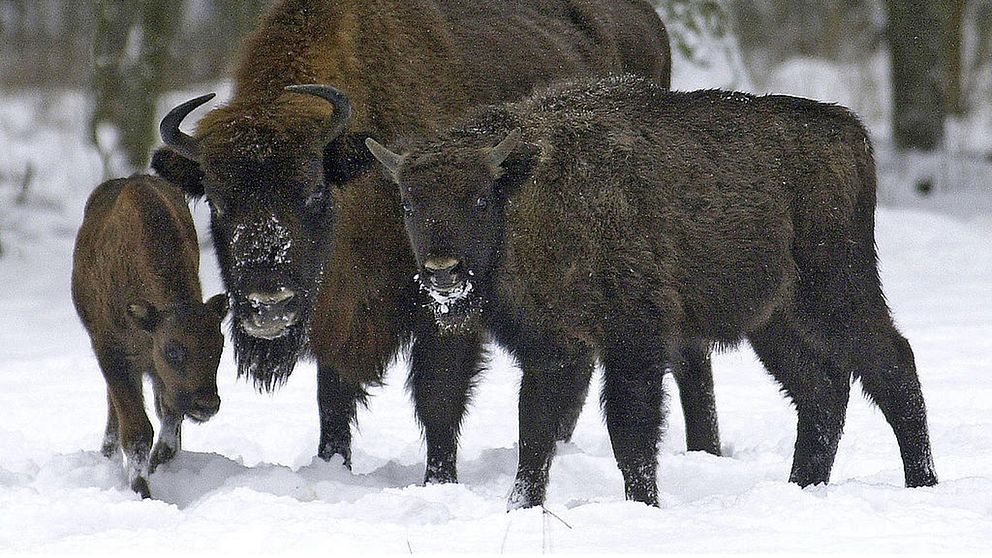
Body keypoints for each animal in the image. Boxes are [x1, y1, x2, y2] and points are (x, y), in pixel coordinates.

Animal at [73, 175, 229, 498]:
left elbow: (169, 416)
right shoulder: (113, 356)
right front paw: (141, 490)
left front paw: (158, 463)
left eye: (219, 347)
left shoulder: (162, 375)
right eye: (173, 350)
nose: (206, 404)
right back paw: (108, 456)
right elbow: (137, 430)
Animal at [149, 0, 720, 484]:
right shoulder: (340, 312)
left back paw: (706, 452)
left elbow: (437, 399)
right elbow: (333, 399)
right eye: (217, 202)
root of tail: (649, 24)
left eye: (313, 190)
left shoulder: (444, 307)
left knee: (689, 353)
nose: (267, 304)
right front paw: (334, 466)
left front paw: (439, 483)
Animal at [370, 74, 936, 512]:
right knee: (822, 389)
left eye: (480, 199)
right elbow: (535, 432)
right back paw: (801, 488)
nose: (442, 272)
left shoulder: (632, 339)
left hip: (837, 290)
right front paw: (521, 509)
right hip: (773, 323)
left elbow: (630, 430)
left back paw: (922, 484)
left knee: (892, 365)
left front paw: (642, 505)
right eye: (409, 204)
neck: (529, 190)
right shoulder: (554, 348)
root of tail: (850, 132)